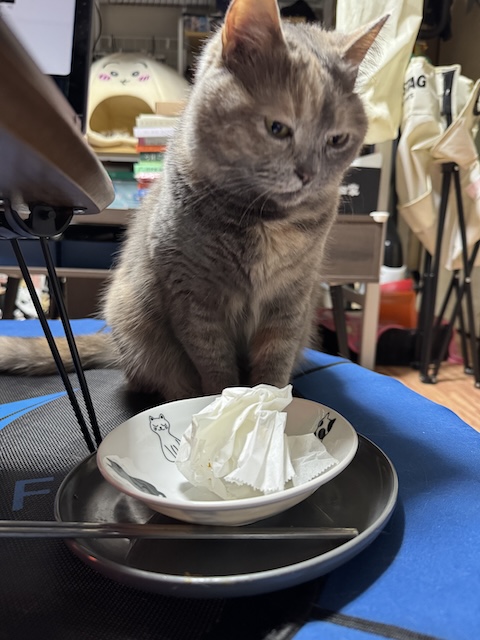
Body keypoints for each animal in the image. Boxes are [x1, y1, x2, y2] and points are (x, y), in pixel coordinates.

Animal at [0, 0, 386, 401]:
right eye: (277, 128)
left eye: (337, 139)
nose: (309, 174)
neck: (264, 217)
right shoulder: (194, 297)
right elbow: (214, 363)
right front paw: (224, 399)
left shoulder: (291, 299)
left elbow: (274, 362)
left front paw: (274, 403)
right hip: (134, 322)